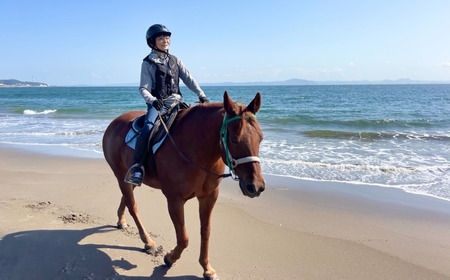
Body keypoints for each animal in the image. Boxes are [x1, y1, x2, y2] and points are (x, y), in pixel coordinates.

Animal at [102, 92, 264, 280]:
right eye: (234, 140)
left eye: (261, 138)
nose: (256, 186)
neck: (196, 149)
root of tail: (114, 123)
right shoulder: (175, 200)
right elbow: (184, 238)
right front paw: (170, 258)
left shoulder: (209, 197)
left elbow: (205, 232)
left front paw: (207, 268)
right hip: (120, 176)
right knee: (132, 205)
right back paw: (148, 242)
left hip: (129, 180)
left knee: (126, 199)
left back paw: (121, 221)